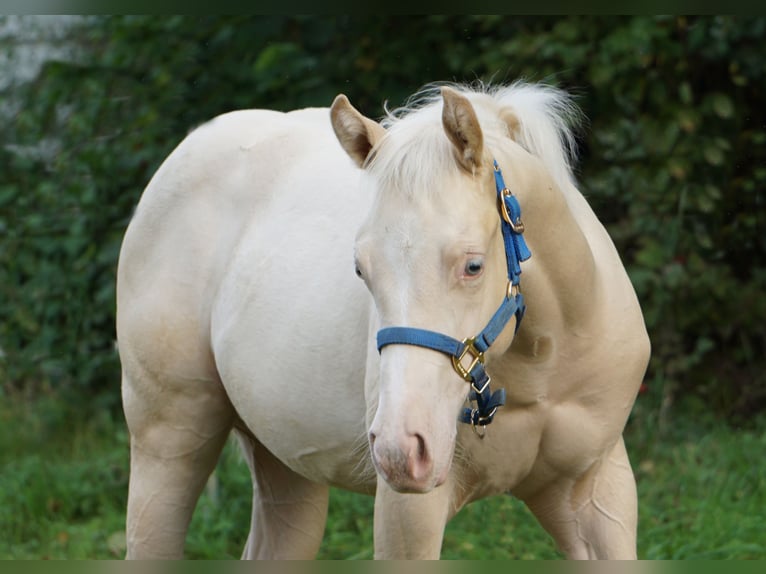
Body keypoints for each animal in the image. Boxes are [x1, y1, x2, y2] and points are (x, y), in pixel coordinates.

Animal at [117, 83, 652, 560]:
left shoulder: (597, 493)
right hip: (168, 443)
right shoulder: (407, 514)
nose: (400, 448)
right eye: (361, 269)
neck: (542, 363)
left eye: (473, 265)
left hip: (285, 467)